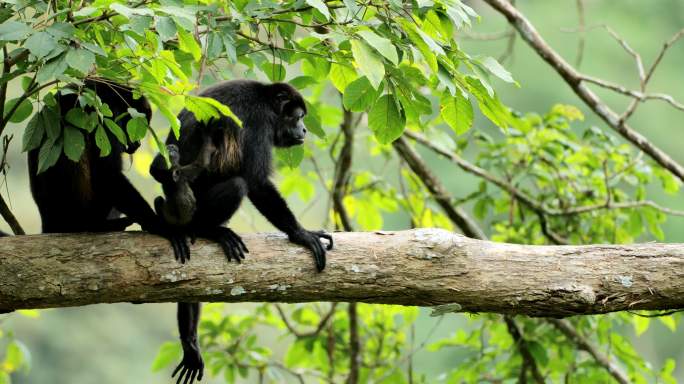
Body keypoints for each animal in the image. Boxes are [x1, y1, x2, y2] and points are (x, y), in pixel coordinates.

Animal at [28, 78, 190, 258]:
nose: (138, 144)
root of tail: (48, 224)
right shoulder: (106, 117)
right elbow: (108, 175)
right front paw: (161, 226)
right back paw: (102, 225)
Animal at [150, 79, 334, 382]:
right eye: (298, 117)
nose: (305, 130)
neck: (267, 100)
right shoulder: (259, 122)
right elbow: (257, 181)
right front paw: (303, 235)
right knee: (238, 184)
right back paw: (211, 230)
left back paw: (189, 341)